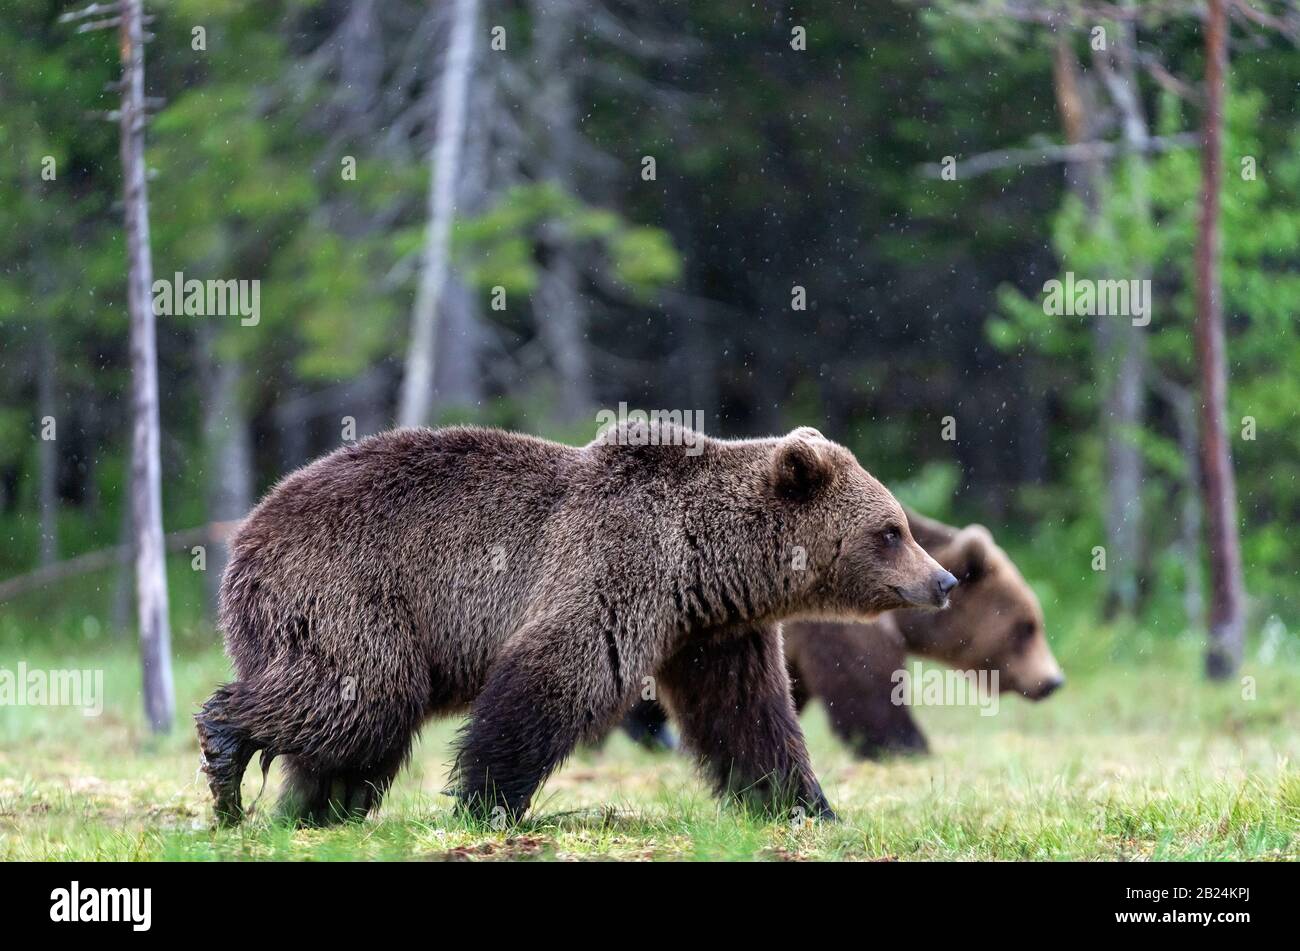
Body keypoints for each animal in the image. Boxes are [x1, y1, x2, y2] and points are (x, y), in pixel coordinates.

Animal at [192, 423, 956, 826]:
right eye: (891, 531)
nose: (944, 581)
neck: (705, 560)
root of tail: (249, 530)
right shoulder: (615, 567)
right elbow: (556, 678)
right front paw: (486, 802)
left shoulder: (713, 633)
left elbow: (746, 716)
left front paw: (805, 806)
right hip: (349, 589)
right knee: (361, 694)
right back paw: (227, 755)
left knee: (361, 727)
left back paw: (314, 807)